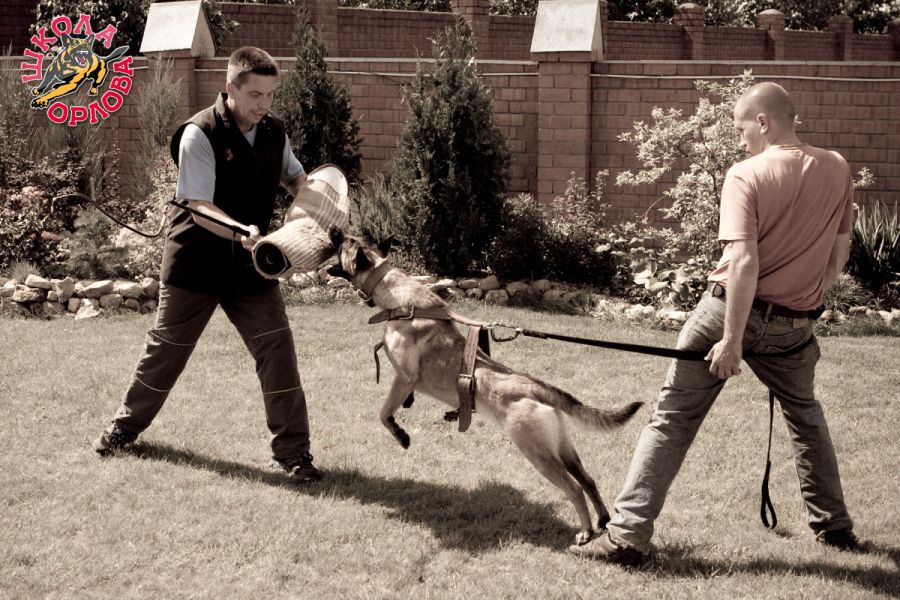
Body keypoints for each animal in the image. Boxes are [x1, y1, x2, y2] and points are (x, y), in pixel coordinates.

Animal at [327, 229, 642, 545]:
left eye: (346, 243)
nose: (334, 230)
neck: (399, 300)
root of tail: (535, 387)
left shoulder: (403, 377)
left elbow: (383, 414)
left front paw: (401, 434)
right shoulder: (405, 380)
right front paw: (408, 407)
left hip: (537, 452)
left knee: (574, 488)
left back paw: (586, 532)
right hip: (562, 447)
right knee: (588, 480)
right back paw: (602, 520)